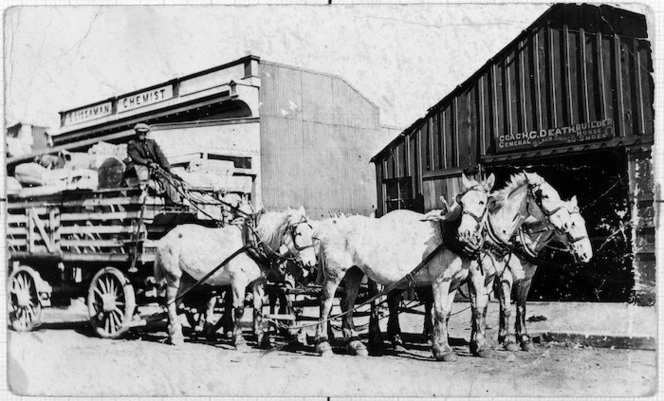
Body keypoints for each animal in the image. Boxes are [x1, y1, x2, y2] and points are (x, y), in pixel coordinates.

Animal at [153, 206, 316, 346]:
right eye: (298, 233)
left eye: (311, 233)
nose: (311, 263)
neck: (251, 242)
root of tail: (165, 238)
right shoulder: (238, 281)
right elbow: (239, 309)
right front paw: (239, 341)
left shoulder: (259, 282)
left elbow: (258, 309)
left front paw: (262, 339)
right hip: (174, 277)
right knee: (170, 302)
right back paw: (175, 336)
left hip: (186, 279)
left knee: (177, 303)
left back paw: (173, 332)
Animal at [316, 173, 492, 360]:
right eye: (462, 203)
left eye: (482, 202)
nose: (465, 234)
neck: (447, 237)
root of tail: (328, 229)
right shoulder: (440, 281)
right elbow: (440, 312)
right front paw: (442, 350)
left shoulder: (454, 283)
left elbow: (447, 312)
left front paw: (446, 346)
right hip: (334, 274)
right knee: (326, 303)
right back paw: (323, 345)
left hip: (353, 273)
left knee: (347, 304)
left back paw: (355, 345)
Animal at [496, 197, 592, 350]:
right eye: (572, 224)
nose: (587, 255)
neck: (520, 243)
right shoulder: (505, 278)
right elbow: (506, 309)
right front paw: (508, 341)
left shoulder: (525, 281)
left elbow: (521, 309)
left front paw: (524, 339)